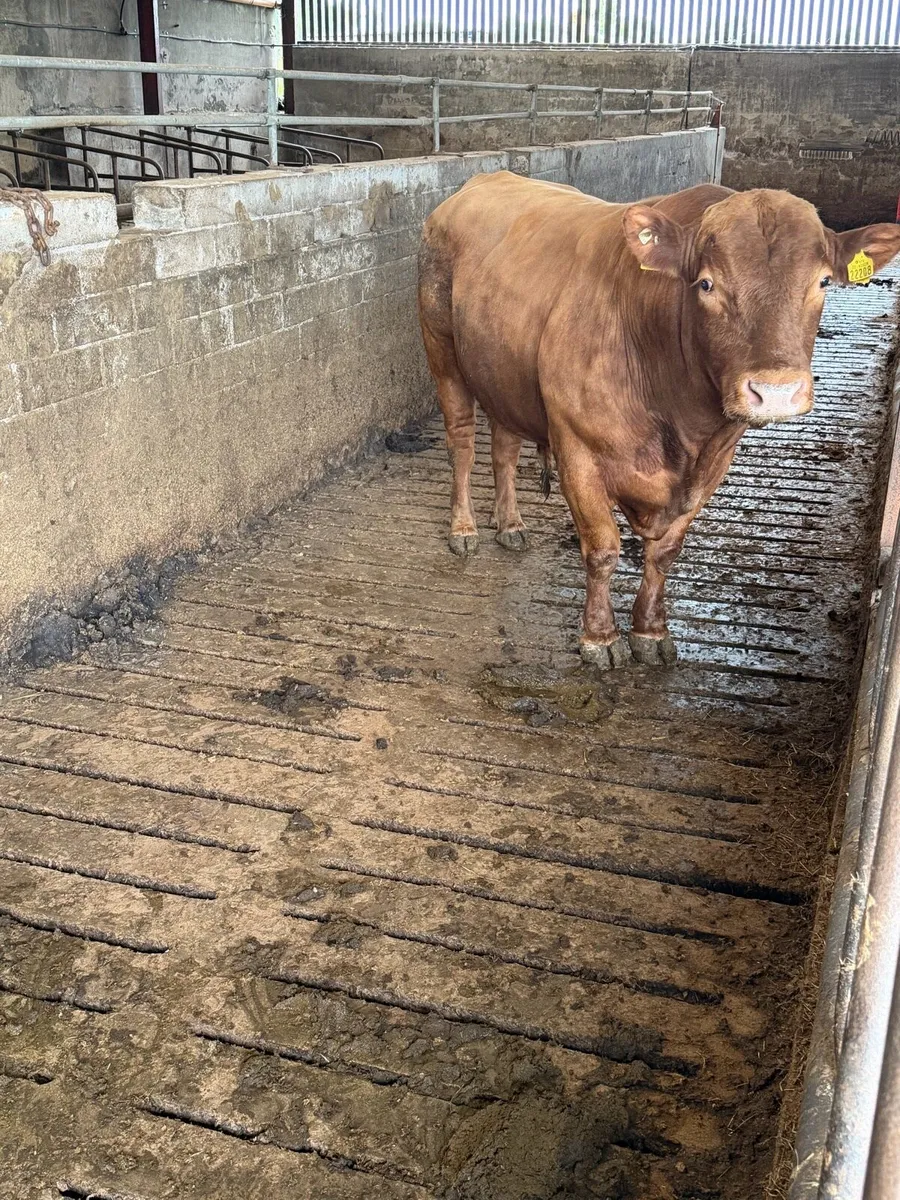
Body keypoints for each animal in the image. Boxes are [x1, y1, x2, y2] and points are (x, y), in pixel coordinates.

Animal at [418, 174, 900, 668]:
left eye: (822, 281)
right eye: (706, 284)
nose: (776, 390)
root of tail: (483, 180)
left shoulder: (711, 465)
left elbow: (666, 553)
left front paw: (650, 631)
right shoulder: (577, 450)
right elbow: (603, 550)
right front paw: (600, 638)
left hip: (502, 374)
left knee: (504, 448)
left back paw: (510, 525)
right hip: (443, 352)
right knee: (463, 444)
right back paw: (464, 529)